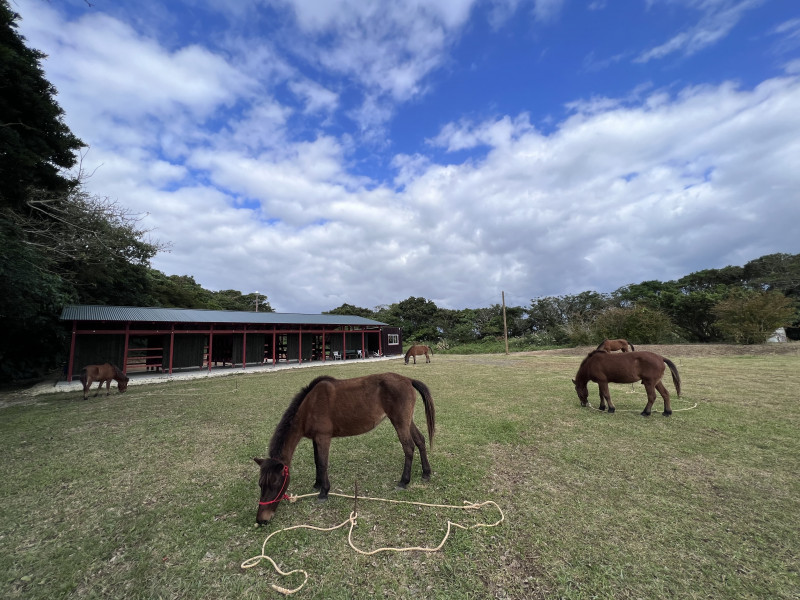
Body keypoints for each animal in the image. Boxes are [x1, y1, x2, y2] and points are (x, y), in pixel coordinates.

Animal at [253, 372, 434, 524]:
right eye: (261, 484)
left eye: (275, 483)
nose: (261, 520)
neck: (309, 406)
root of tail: (408, 380)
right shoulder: (315, 439)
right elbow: (317, 462)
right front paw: (317, 484)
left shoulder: (323, 438)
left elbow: (323, 463)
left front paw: (324, 492)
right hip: (407, 421)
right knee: (420, 441)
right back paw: (426, 473)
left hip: (400, 422)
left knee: (408, 447)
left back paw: (404, 481)